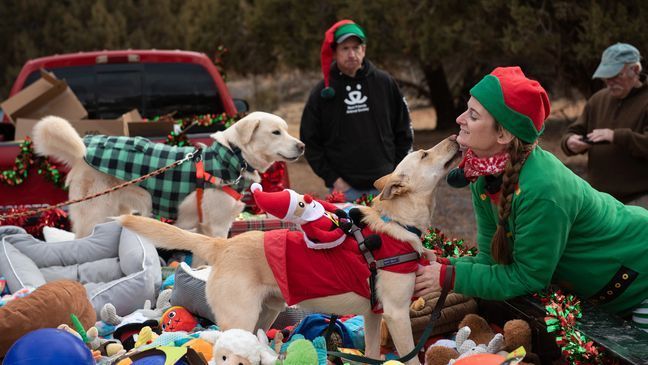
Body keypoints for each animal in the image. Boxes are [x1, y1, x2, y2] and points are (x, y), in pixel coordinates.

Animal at [34, 112, 306, 237]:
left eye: (285, 130)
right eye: (275, 132)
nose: (302, 146)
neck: (232, 155)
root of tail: (84, 147)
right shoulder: (216, 225)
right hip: (94, 213)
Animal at [119, 137, 458, 364]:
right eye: (425, 154)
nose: (455, 137)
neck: (398, 224)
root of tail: (224, 243)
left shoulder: (374, 316)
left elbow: (374, 353)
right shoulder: (397, 315)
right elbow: (411, 357)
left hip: (265, 313)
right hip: (241, 317)